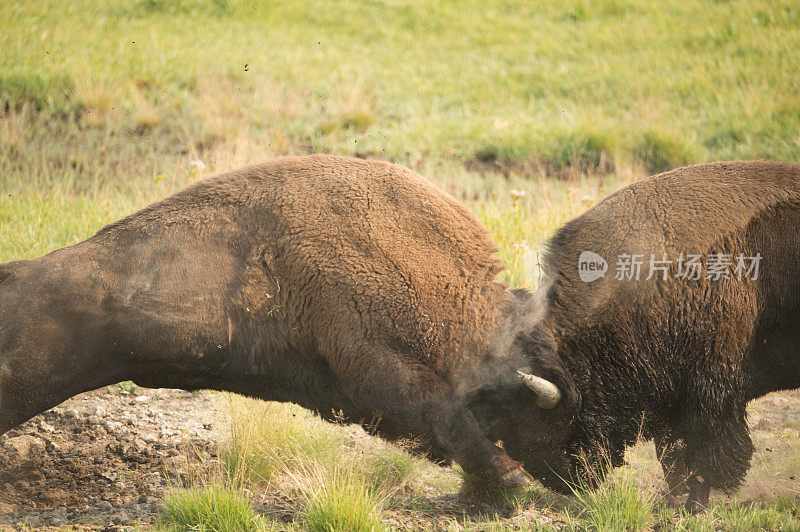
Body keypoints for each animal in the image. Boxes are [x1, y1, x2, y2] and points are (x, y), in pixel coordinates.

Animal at [0, 153, 548, 486]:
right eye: (539, 414)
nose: (558, 479)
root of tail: (13, 275)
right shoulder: (378, 363)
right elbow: (443, 411)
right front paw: (511, 478)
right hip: (27, 382)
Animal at [472, 161, 796, 512]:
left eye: (538, 423)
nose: (563, 482)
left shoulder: (712, 389)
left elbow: (705, 453)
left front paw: (695, 505)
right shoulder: (672, 393)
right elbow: (673, 454)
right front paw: (673, 498)